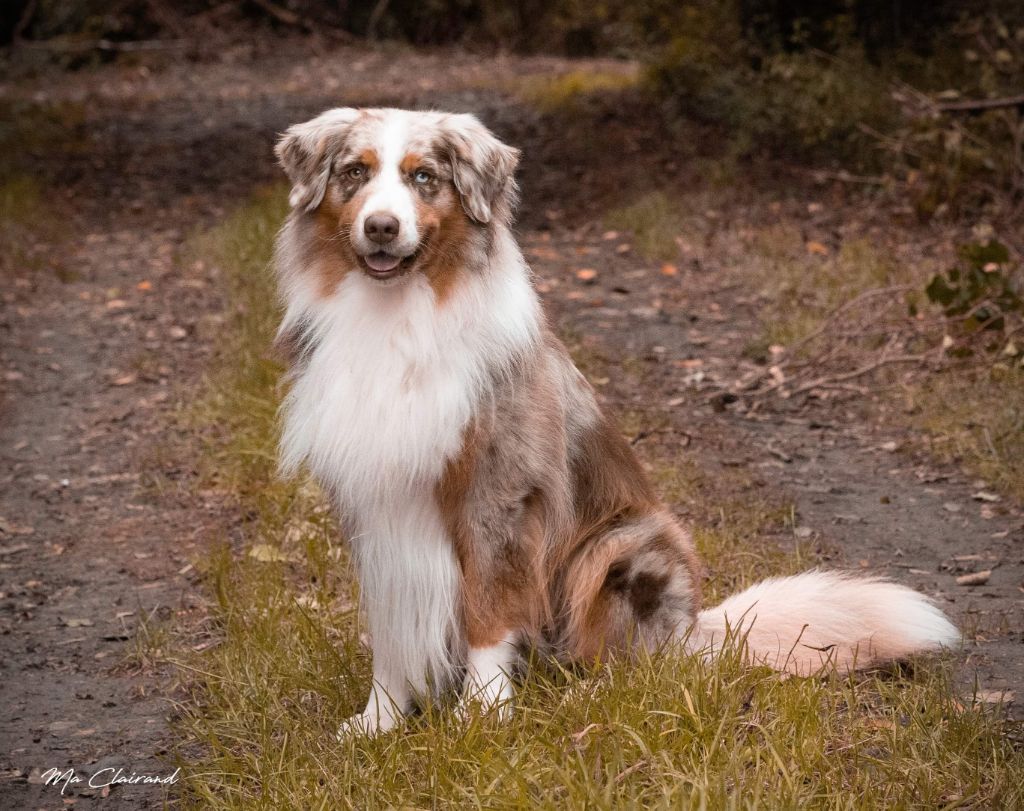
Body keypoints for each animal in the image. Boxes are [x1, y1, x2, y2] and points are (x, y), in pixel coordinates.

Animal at [270, 107, 958, 733]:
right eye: (355, 173)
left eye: (424, 178)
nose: (382, 227)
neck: (397, 317)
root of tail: (697, 628)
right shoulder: (372, 502)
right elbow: (392, 628)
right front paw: (379, 722)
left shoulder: (499, 492)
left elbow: (489, 611)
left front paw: (483, 717)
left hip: (621, 547)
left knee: (637, 668)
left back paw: (582, 699)